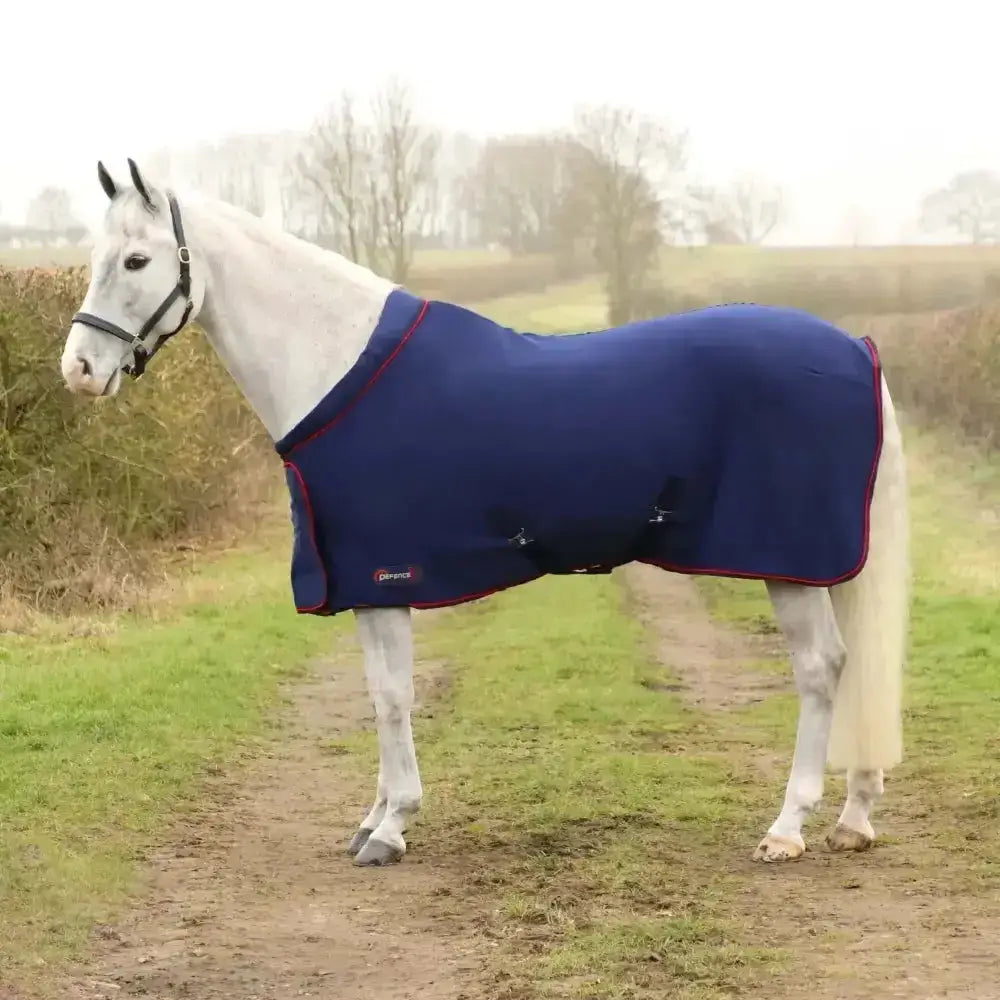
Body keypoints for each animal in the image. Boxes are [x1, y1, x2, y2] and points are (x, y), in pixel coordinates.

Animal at [60, 159, 909, 868]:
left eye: (136, 261)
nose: (79, 370)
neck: (339, 368)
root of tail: (858, 350)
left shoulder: (384, 573)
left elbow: (394, 697)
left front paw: (393, 826)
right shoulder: (366, 586)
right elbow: (380, 693)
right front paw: (372, 818)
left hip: (789, 562)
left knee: (821, 671)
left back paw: (788, 828)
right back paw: (854, 817)